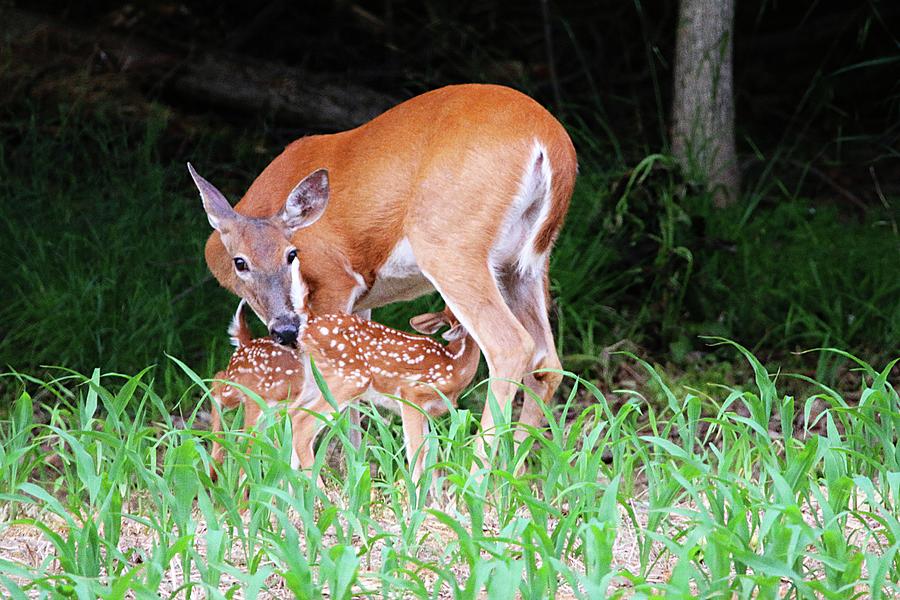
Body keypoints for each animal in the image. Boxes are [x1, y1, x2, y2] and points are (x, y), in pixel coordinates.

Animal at [193, 83, 580, 460]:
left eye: (292, 255)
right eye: (241, 262)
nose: (285, 327)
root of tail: (551, 143)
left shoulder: (335, 281)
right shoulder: (361, 305)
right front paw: (354, 467)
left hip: (450, 243)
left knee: (510, 345)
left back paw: (477, 470)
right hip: (525, 264)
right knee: (547, 364)